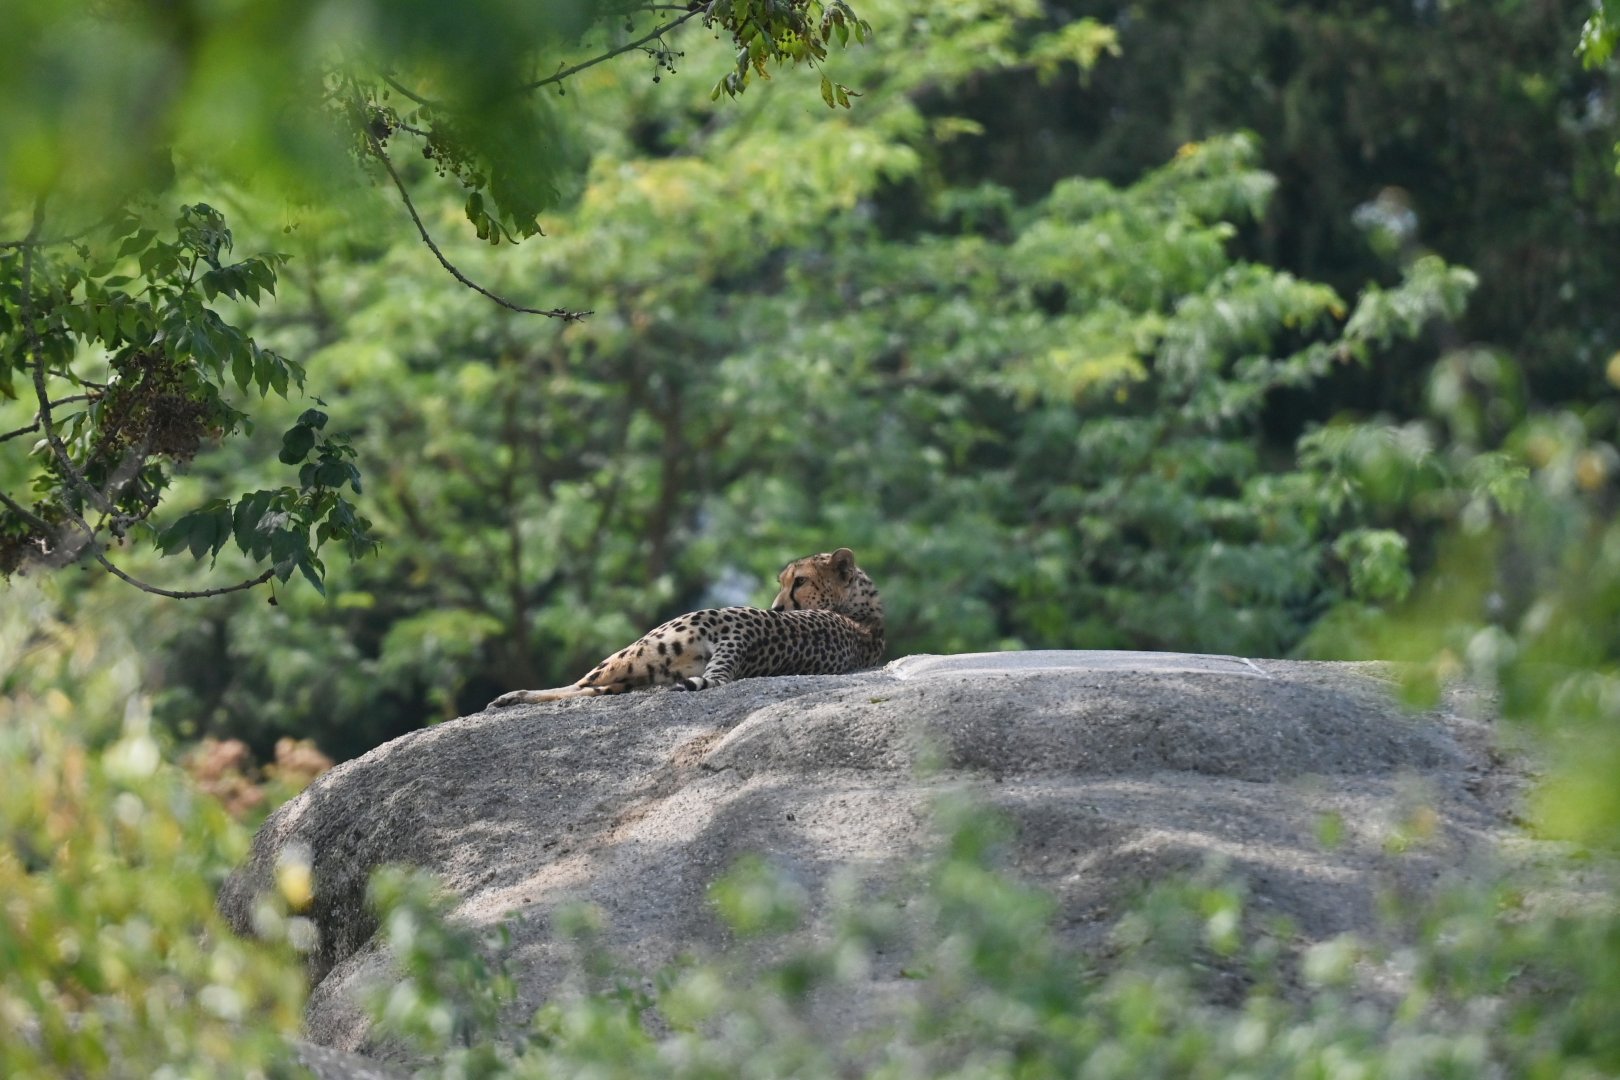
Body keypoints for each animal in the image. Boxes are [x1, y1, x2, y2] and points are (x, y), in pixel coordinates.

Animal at [486, 547, 884, 708]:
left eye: (799, 581)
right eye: (783, 581)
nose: (775, 607)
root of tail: (744, 635)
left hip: (638, 651)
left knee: (581, 685)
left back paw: (510, 697)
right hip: (651, 668)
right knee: (592, 690)